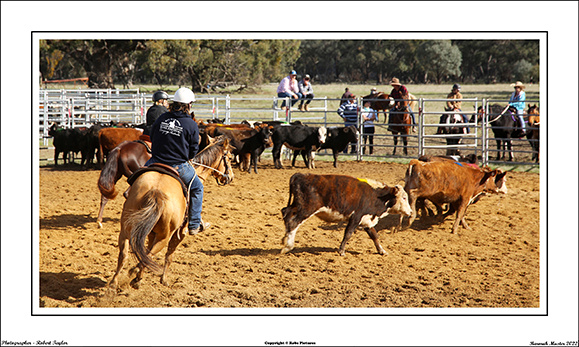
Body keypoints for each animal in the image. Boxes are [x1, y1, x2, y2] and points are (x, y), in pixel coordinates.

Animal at [107, 137, 234, 290]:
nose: (231, 177)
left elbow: (145, 249)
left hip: (127, 229)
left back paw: (115, 282)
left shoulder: (150, 232)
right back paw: (133, 274)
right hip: (164, 236)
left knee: (127, 254)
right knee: (149, 255)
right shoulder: (180, 233)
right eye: (230, 158)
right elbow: (169, 255)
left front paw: (140, 278)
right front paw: (163, 280)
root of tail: (156, 191)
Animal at [280, 173, 412, 256]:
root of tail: (300, 175)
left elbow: (374, 235)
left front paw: (382, 251)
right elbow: (348, 233)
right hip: (306, 209)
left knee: (286, 213)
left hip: (296, 206)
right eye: (404, 197)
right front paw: (341, 251)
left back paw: (284, 240)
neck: (376, 195)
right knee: (293, 222)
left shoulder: (367, 220)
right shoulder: (356, 217)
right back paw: (288, 246)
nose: (410, 212)